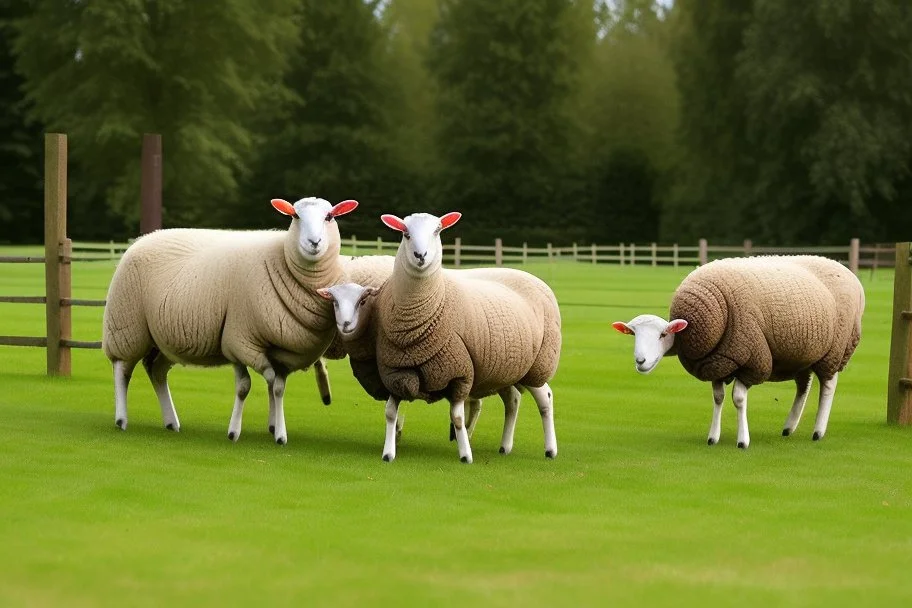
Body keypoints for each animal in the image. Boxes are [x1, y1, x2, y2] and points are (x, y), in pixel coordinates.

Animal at [100, 197, 356, 444]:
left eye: (329, 216)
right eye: (295, 215)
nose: (314, 242)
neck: (281, 258)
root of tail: (143, 238)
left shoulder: (282, 352)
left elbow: (277, 387)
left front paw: (277, 431)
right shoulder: (238, 339)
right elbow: (246, 386)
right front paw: (235, 432)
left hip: (163, 339)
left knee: (156, 370)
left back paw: (171, 422)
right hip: (126, 325)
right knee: (122, 369)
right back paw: (121, 419)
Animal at [372, 211, 560, 464]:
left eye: (437, 231)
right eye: (405, 233)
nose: (420, 256)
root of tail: (533, 277)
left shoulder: (460, 371)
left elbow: (458, 417)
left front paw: (465, 455)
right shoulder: (396, 370)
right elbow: (390, 413)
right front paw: (388, 453)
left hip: (536, 365)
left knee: (545, 398)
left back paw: (550, 449)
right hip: (505, 369)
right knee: (512, 400)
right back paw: (505, 446)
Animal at [612, 254, 864, 448]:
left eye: (663, 335)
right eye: (633, 334)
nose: (640, 361)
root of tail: (845, 269)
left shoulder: (751, 360)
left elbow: (739, 399)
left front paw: (743, 440)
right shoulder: (718, 363)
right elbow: (718, 398)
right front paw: (713, 437)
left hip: (836, 347)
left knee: (828, 385)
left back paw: (818, 431)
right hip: (802, 353)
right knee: (804, 385)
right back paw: (789, 427)